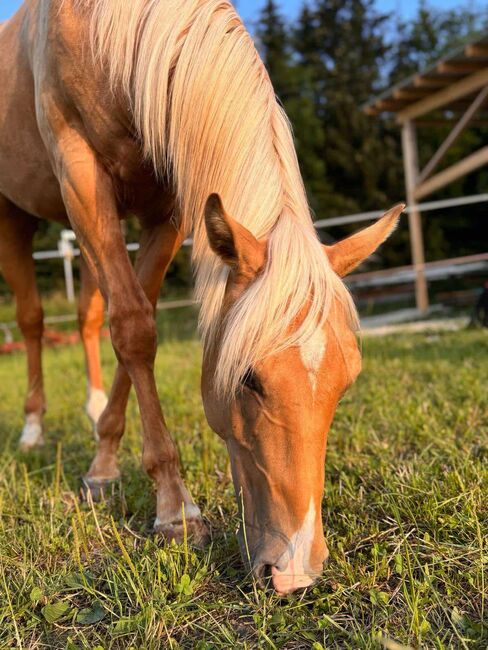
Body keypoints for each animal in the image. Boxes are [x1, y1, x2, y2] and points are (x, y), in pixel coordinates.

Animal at [0, 0, 404, 592]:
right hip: (16, 215)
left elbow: (134, 322)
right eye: (249, 380)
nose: (295, 571)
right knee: (31, 319)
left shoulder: (166, 203)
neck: (101, 29)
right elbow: (135, 329)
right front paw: (175, 509)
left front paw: (104, 465)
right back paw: (32, 428)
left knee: (89, 315)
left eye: (347, 378)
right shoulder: (80, 173)